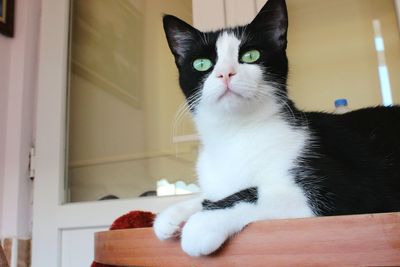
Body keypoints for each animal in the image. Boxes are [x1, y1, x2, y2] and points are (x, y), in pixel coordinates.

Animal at [152, 0, 400, 258]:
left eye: (251, 55)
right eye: (202, 64)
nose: (225, 73)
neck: (235, 133)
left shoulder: (349, 190)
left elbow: (260, 193)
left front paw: (201, 223)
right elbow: (211, 194)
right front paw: (173, 214)